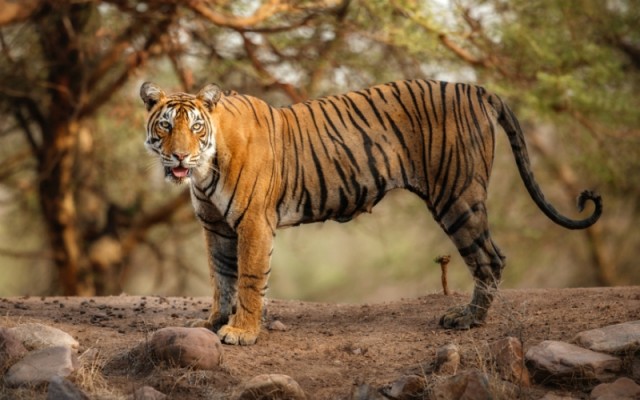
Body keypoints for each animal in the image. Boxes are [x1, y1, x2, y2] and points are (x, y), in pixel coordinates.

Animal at [140, 79, 602, 345]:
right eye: (165, 125)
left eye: (195, 127)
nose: (179, 156)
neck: (204, 169)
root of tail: (477, 89)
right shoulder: (215, 227)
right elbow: (222, 278)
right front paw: (214, 322)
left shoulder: (253, 223)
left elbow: (249, 280)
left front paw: (241, 332)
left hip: (457, 196)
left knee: (490, 258)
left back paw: (467, 320)